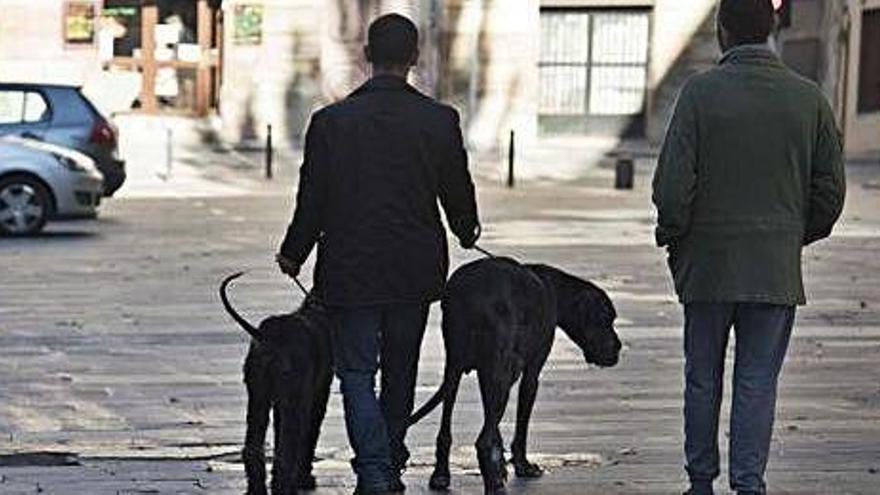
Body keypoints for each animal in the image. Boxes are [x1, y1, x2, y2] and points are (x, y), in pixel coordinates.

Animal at [220, 272, 334, 495]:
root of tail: (268, 336)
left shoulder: (280, 400)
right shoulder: (317, 394)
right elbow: (311, 432)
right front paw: (305, 478)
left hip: (258, 393)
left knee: (254, 444)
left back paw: (257, 486)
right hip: (295, 397)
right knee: (292, 441)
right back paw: (287, 484)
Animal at [410, 258, 624, 494]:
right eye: (606, 319)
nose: (618, 347)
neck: (555, 290)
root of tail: (467, 293)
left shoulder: (488, 372)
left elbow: (492, 419)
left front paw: (501, 465)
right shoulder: (529, 373)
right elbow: (521, 422)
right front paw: (522, 465)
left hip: (455, 368)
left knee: (447, 423)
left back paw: (441, 474)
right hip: (501, 369)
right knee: (483, 440)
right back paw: (494, 485)